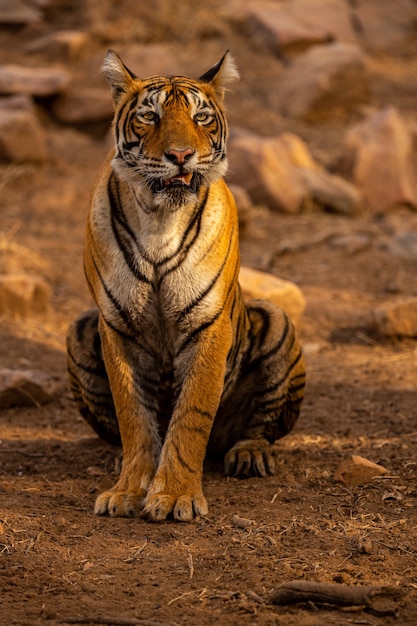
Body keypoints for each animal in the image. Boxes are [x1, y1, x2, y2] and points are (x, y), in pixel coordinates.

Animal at [66, 48, 306, 520]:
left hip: (276, 320)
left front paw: (175, 495)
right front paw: (128, 491)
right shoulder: (116, 326)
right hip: (80, 328)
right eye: (150, 116)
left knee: (257, 429)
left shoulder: (207, 325)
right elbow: (134, 417)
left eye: (201, 118)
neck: (160, 216)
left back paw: (249, 455)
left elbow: (191, 414)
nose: (180, 154)